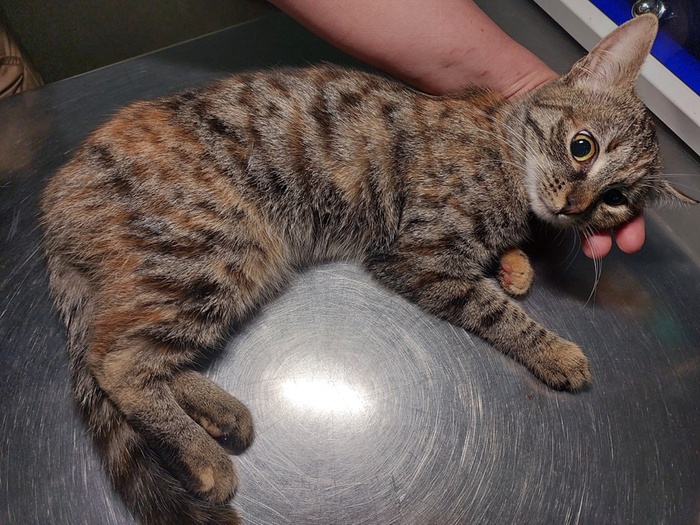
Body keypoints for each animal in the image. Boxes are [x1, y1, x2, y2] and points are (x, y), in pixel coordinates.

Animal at [40, 13, 694, 525]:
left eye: (617, 200)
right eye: (582, 146)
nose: (576, 206)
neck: (504, 155)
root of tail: (59, 199)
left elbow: (509, 264)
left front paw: (517, 265)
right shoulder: (421, 257)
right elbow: (500, 314)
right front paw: (555, 350)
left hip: (226, 268)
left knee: (134, 350)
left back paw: (221, 416)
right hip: (220, 248)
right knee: (117, 360)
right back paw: (205, 459)